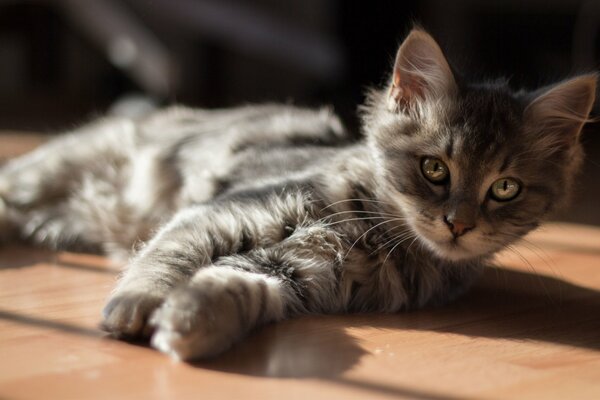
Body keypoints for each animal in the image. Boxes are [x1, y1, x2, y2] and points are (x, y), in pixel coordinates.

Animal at [0, 28, 596, 360]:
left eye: (504, 188)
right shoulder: (229, 209)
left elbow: (239, 287)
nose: (459, 224)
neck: (373, 235)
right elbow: (169, 256)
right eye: (434, 170)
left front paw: (192, 323)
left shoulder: (300, 273)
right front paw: (138, 304)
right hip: (48, 170)